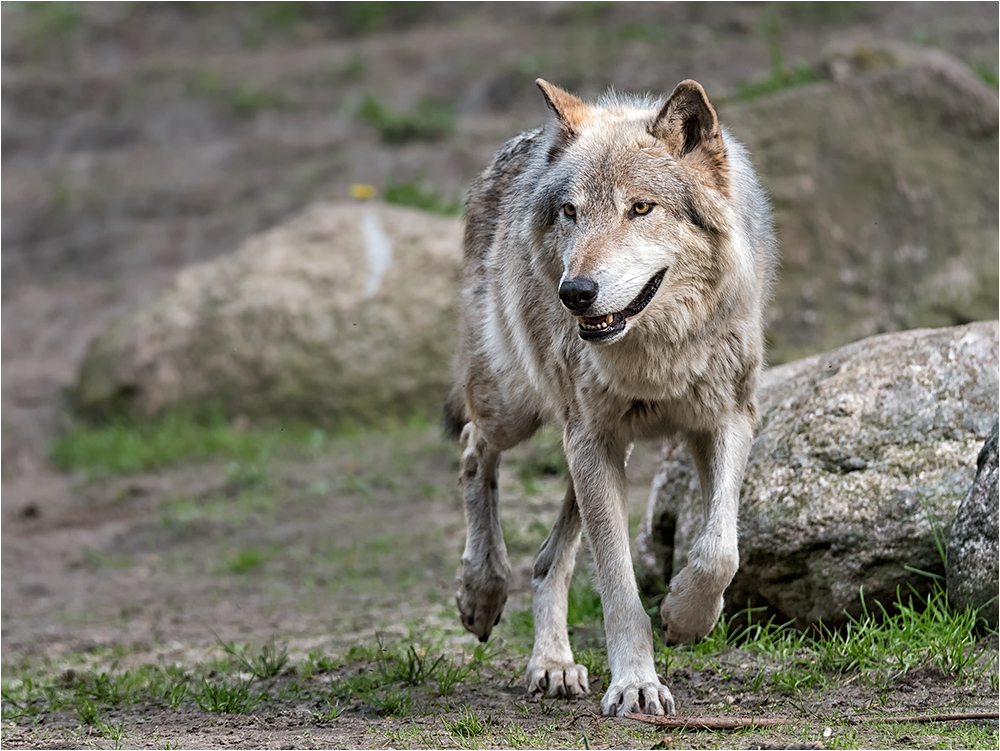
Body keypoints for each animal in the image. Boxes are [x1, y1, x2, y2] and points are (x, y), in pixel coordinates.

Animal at [446, 79, 780, 720]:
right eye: (572, 212)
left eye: (640, 208)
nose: (575, 292)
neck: (656, 356)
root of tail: (521, 147)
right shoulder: (593, 439)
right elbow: (620, 589)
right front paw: (636, 685)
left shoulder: (727, 419)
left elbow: (719, 550)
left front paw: (686, 616)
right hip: (517, 409)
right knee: (474, 448)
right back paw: (482, 590)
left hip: (593, 447)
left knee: (547, 560)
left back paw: (552, 664)